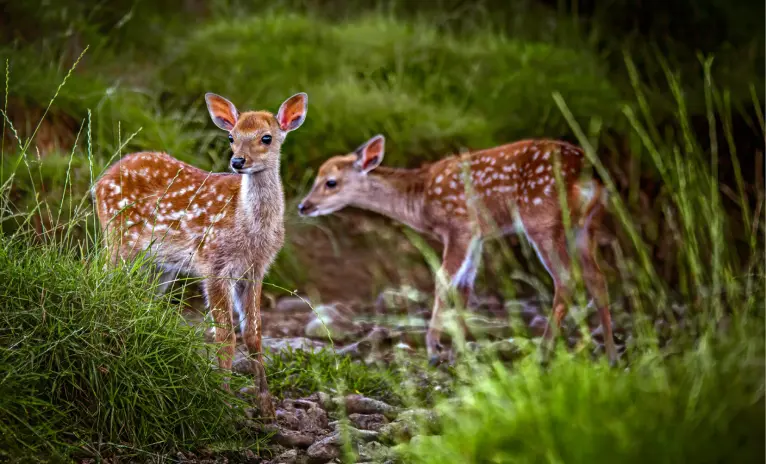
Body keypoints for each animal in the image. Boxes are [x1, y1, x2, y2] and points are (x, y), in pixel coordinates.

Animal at [92, 92, 308, 418]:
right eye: (231, 137)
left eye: (266, 137)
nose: (237, 161)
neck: (248, 226)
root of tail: (100, 181)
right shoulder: (214, 264)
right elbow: (225, 337)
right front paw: (224, 404)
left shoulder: (255, 269)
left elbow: (254, 334)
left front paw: (266, 407)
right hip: (117, 240)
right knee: (100, 279)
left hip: (159, 264)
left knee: (142, 299)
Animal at [297, 135, 617, 366]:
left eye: (331, 182)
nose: (303, 205)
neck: (421, 200)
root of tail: (587, 175)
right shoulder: (478, 236)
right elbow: (465, 287)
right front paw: (457, 350)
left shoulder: (460, 225)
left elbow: (443, 280)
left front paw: (434, 349)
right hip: (585, 225)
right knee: (597, 277)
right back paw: (610, 355)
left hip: (541, 218)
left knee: (566, 278)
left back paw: (544, 352)